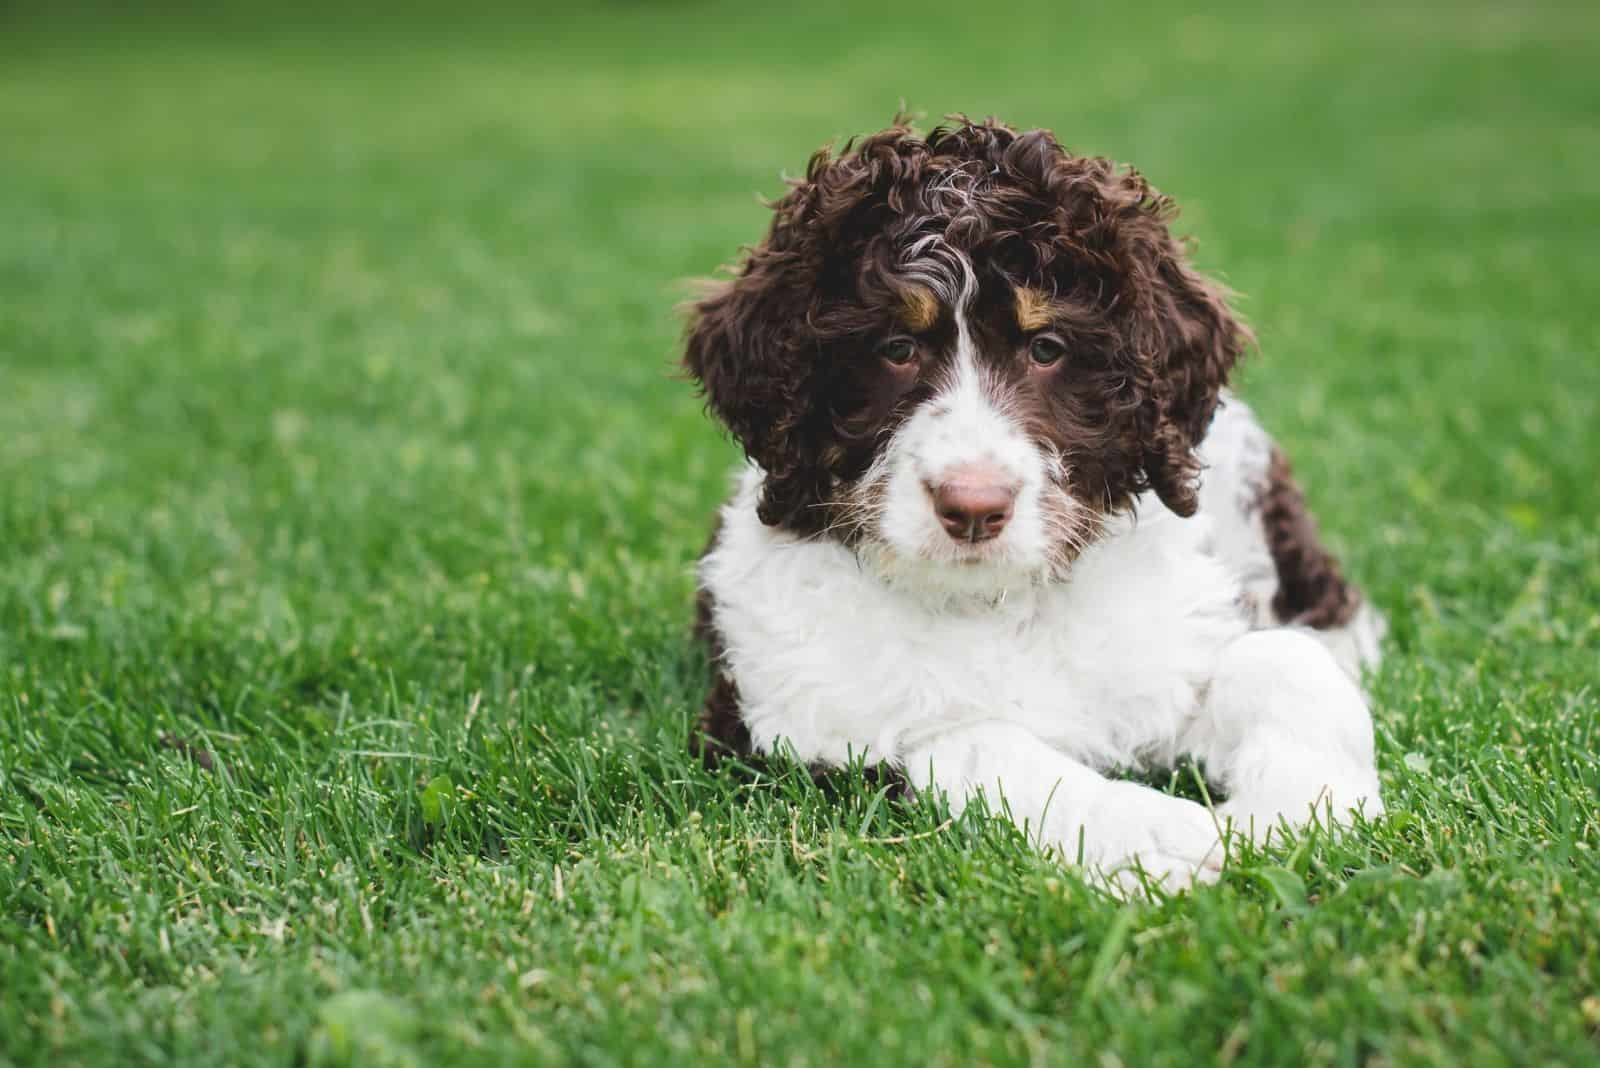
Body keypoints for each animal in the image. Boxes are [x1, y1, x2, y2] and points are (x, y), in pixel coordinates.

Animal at [681, 115, 1382, 895]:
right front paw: (1149, 836)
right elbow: (969, 740)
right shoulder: (782, 734)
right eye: (895, 348)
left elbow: (1280, 660)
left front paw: (1303, 802)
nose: (973, 506)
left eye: (1047, 348)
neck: (995, 605)